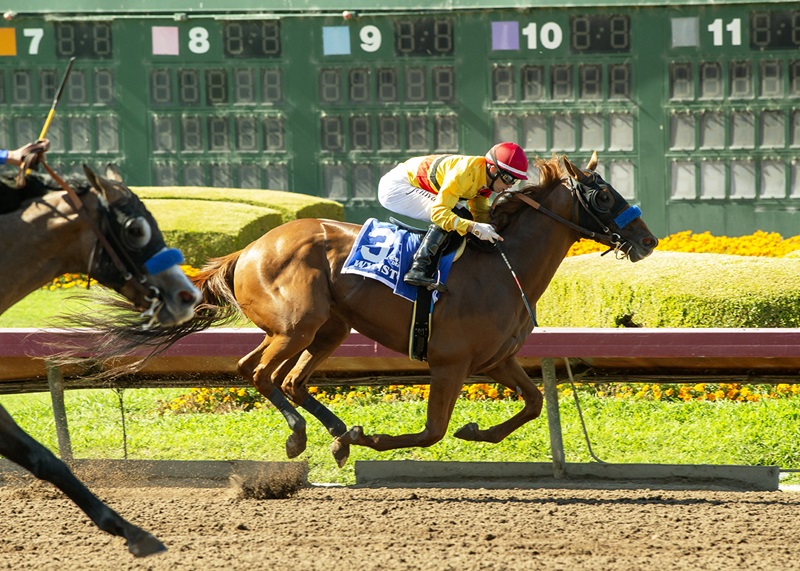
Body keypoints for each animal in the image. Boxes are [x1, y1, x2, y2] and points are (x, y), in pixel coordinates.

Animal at [106, 153, 660, 470]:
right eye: (603, 194)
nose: (648, 240)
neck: (503, 265)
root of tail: (248, 249)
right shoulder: (450, 363)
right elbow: (433, 432)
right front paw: (373, 436)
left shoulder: (496, 360)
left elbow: (534, 403)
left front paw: (477, 431)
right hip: (297, 325)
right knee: (261, 373)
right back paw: (306, 436)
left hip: (328, 328)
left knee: (285, 379)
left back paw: (335, 435)